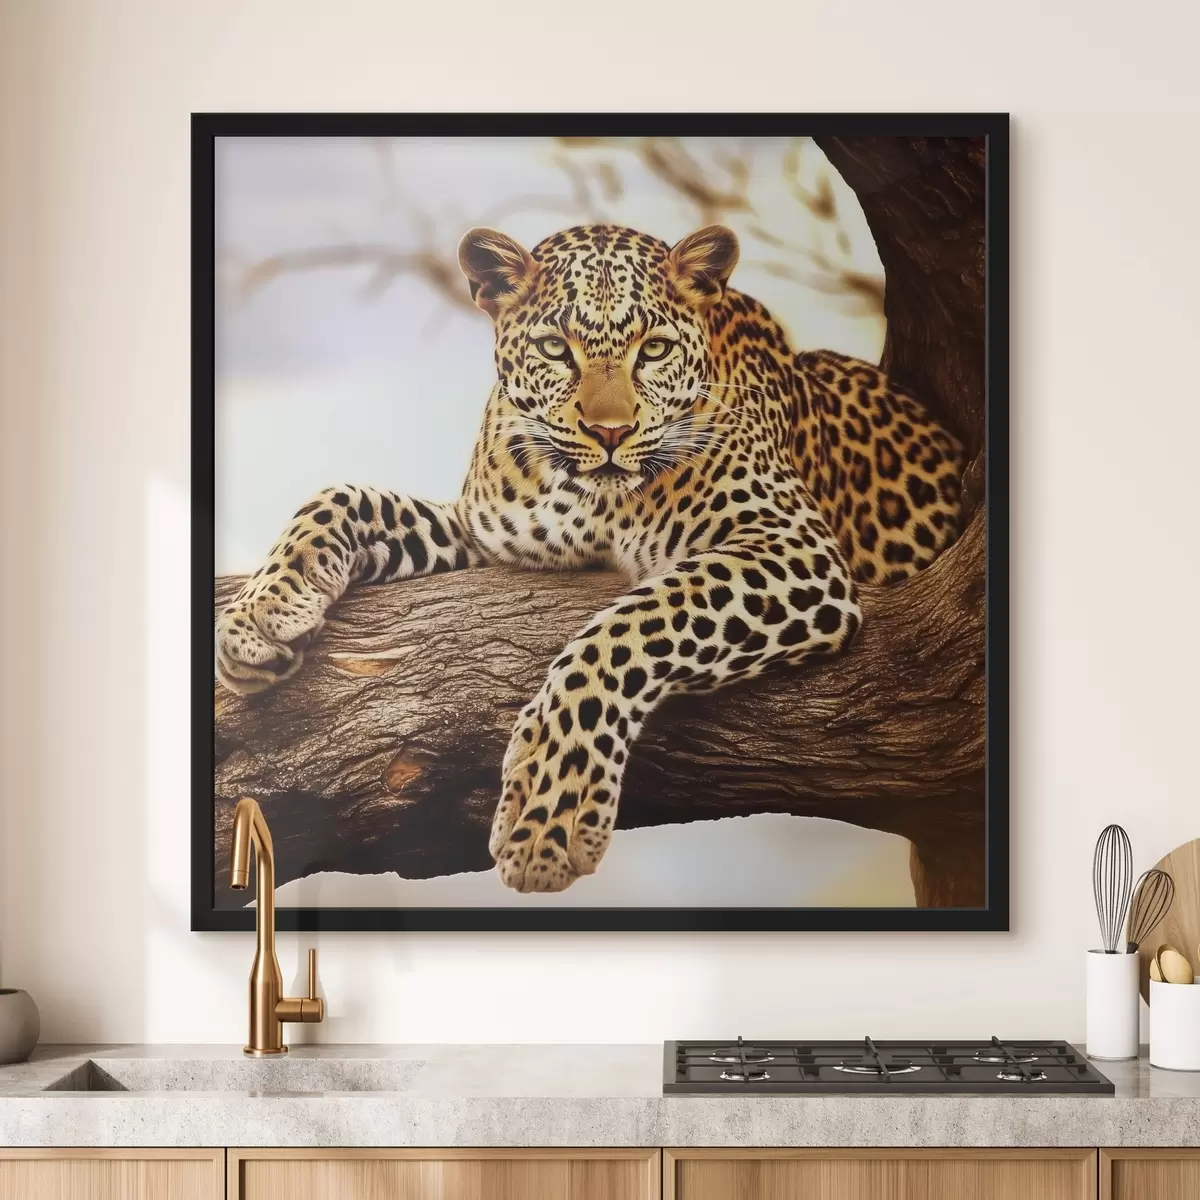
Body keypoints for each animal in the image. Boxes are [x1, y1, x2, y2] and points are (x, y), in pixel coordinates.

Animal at [216, 222, 964, 894]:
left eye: (654, 349)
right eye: (556, 347)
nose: (610, 433)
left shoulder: (790, 544)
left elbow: (630, 627)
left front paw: (549, 812)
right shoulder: (481, 539)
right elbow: (345, 495)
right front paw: (259, 615)